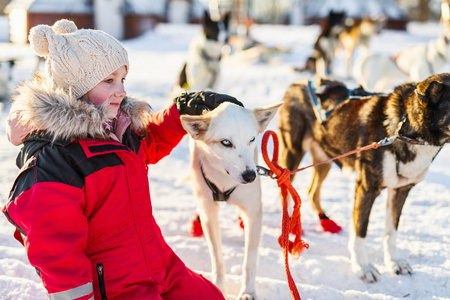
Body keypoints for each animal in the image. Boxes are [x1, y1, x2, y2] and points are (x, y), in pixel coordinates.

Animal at [179, 101, 282, 300]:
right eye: (226, 142)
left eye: (252, 139)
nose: (251, 176)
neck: (225, 180)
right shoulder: (209, 213)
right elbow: (217, 258)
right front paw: (219, 287)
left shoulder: (253, 212)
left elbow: (249, 260)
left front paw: (248, 291)